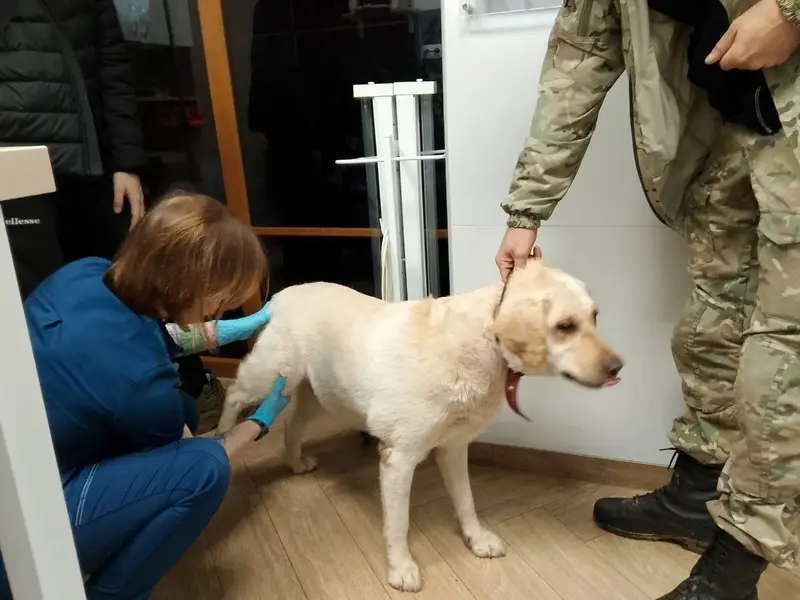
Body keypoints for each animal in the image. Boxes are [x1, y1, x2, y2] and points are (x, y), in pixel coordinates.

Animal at [218, 259, 623, 592]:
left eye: (596, 317)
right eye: (565, 326)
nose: (618, 368)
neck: (479, 345)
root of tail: (283, 294)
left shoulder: (454, 448)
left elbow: (466, 502)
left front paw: (476, 539)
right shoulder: (399, 458)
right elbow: (398, 525)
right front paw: (401, 569)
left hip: (315, 394)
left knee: (292, 425)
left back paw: (296, 462)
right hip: (271, 376)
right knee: (235, 396)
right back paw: (222, 437)